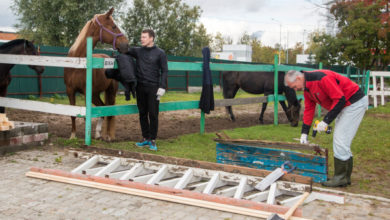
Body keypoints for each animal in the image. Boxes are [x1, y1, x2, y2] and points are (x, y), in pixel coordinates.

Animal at [64, 8, 129, 141]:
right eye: (114, 26)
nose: (126, 44)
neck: (78, 62)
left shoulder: (86, 92)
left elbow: (86, 115)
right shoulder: (70, 91)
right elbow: (73, 114)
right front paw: (73, 135)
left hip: (110, 92)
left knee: (108, 112)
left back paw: (108, 136)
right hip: (96, 94)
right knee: (102, 108)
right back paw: (98, 133)